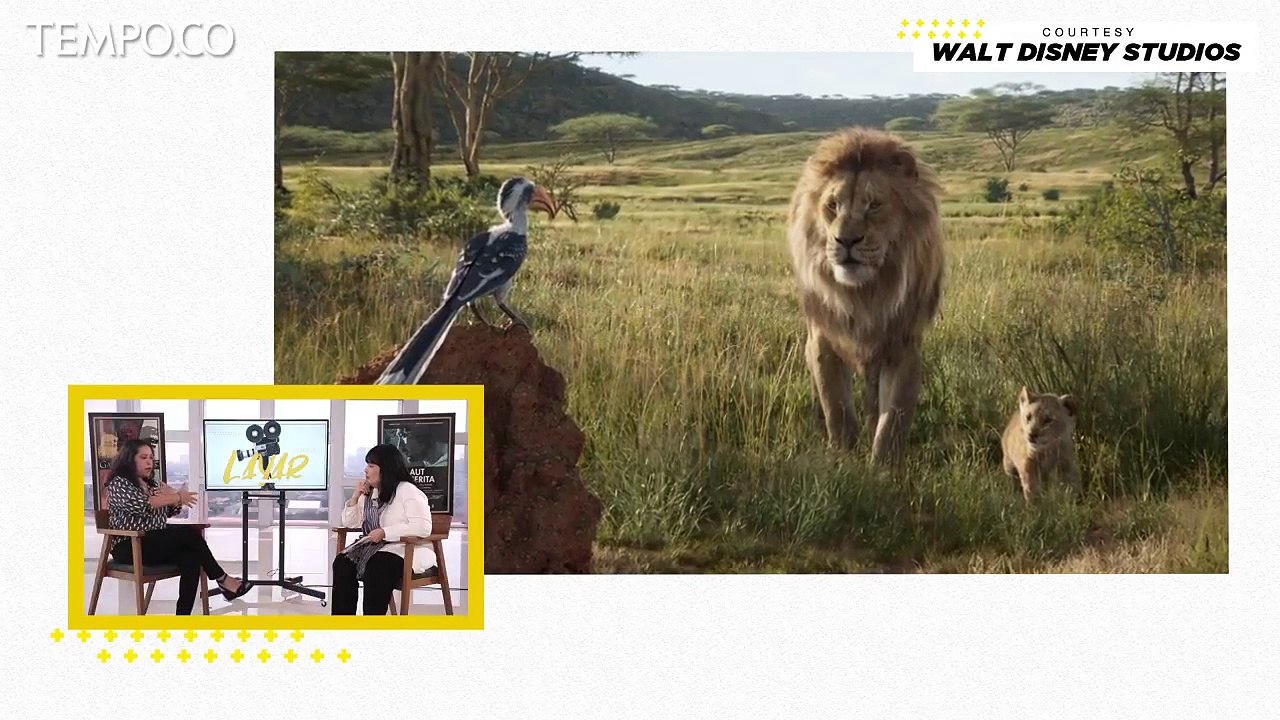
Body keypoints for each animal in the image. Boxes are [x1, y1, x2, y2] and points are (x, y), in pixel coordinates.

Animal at [786, 127, 945, 463]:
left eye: (874, 205)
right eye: (832, 205)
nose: (845, 240)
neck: (865, 294)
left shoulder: (903, 345)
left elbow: (893, 418)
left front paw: (883, 467)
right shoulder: (822, 340)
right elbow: (836, 408)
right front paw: (841, 458)